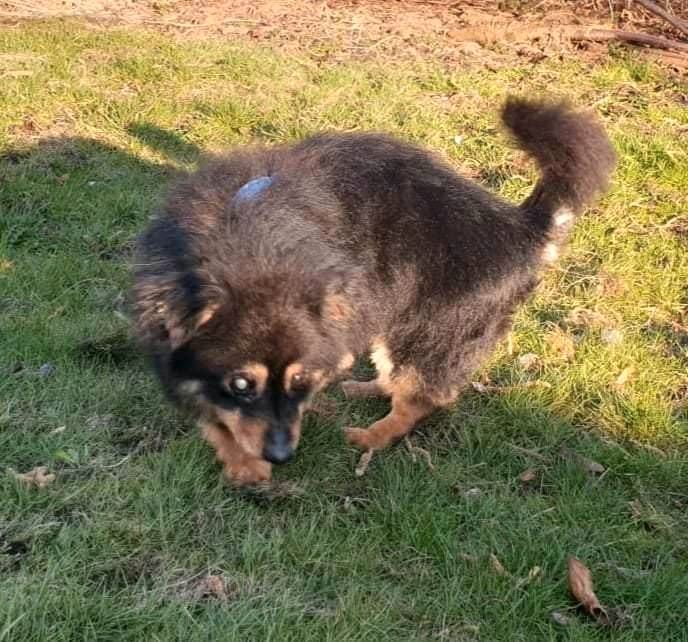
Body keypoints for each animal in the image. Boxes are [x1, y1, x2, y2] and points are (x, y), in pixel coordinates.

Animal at [132, 97, 616, 482]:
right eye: (240, 384)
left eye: (300, 380)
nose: (283, 456)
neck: (250, 236)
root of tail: (523, 229)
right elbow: (215, 415)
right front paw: (241, 461)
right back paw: (364, 388)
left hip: (430, 332)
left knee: (421, 399)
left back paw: (371, 435)